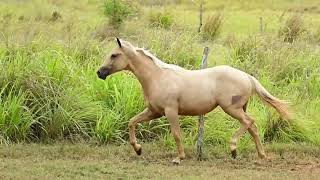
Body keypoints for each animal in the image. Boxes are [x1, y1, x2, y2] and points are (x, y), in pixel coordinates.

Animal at [96, 38, 292, 165]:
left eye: (114, 55)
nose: (99, 72)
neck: (157, 77)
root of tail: (247, 76)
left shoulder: (170, 111)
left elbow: (176, 134)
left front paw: (179, 158)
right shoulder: (154, 112)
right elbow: (132, 122)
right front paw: (138, 149)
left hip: (232, 109)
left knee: (249, 122)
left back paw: (234, 149)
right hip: (240, 108)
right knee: (253, 128)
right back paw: (261, 157)